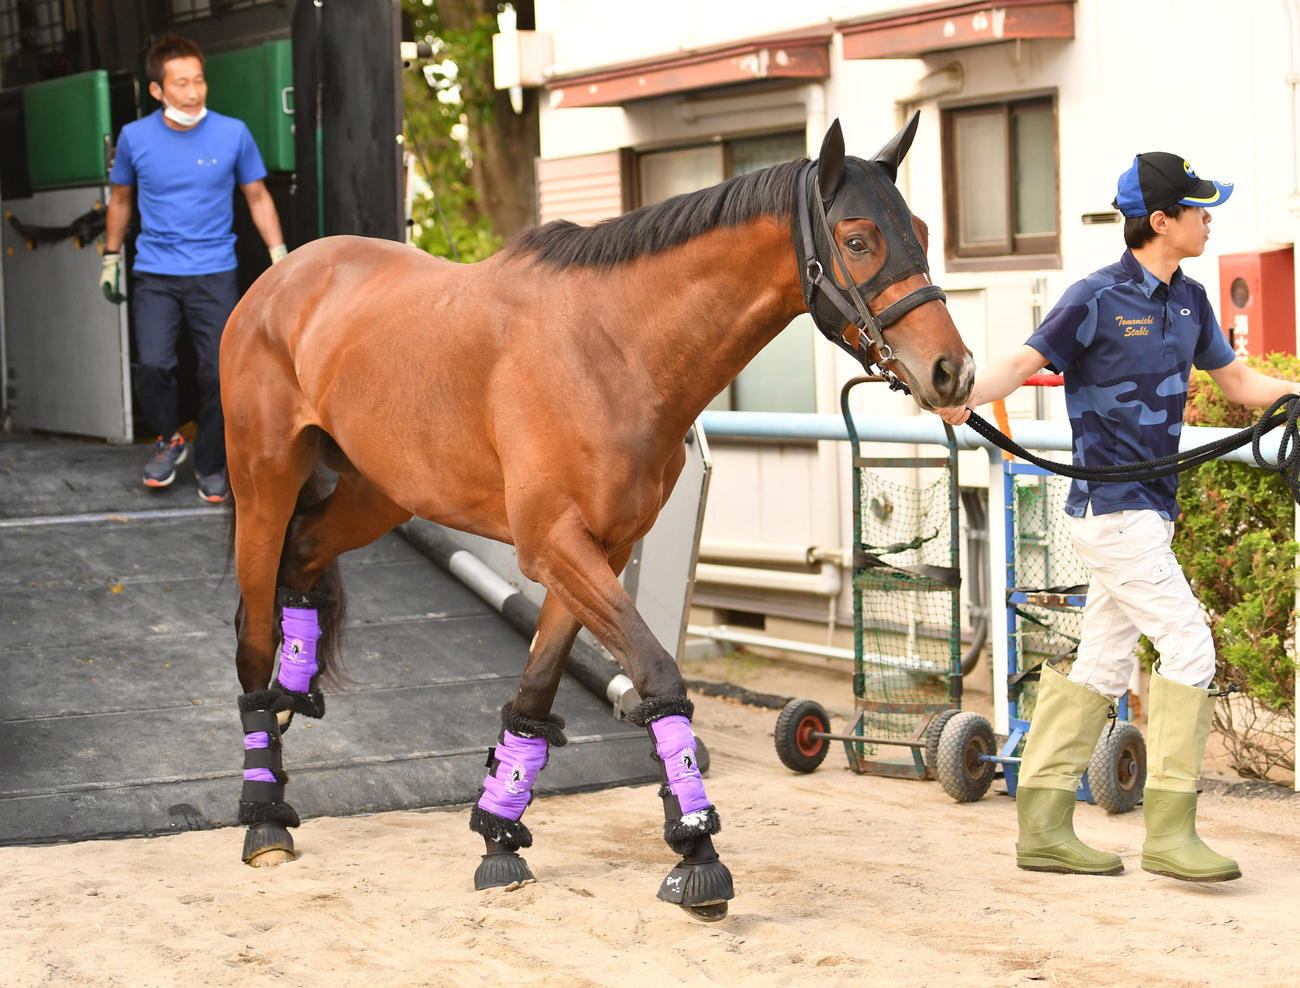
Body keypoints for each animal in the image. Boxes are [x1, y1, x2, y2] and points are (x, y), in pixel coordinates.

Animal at [219, 112, 974, 921]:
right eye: (859, 239)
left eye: (921, 230)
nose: (952, 372)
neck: (614, 347)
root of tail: (282, 277)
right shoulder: (554, 546)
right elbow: (655, 672)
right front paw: (697, 852)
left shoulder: (598, 551)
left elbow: (535, 693)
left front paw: (499, 837)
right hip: (264, 484)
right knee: (253, 636)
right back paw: (263, 814)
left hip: (379, 493)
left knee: (304, 556)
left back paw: (293, 700)